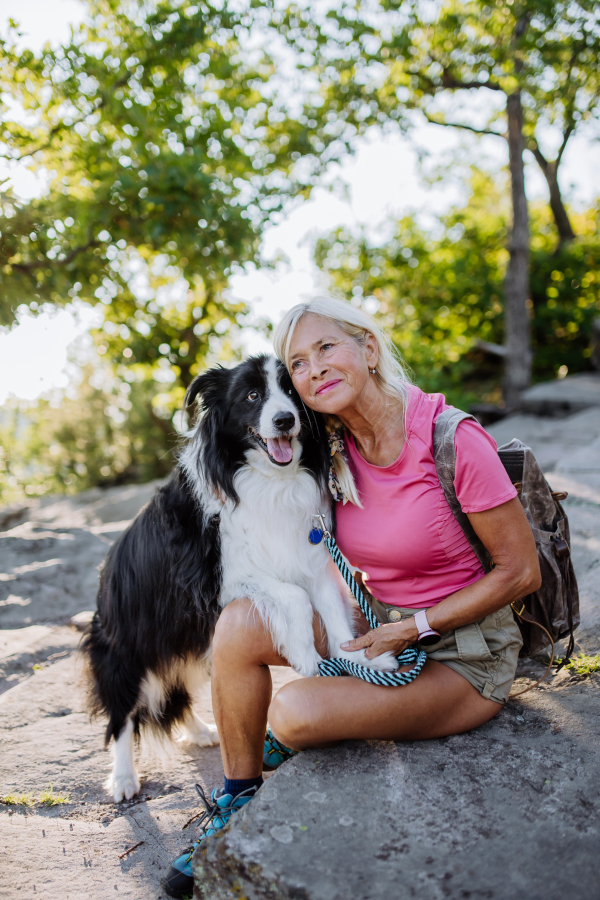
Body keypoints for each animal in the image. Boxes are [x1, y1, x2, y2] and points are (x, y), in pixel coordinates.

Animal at [82, 354, 396, 800]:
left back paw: (199, 731)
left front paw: (362, 658)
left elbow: (334, 615)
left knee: (174, 687)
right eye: (251, 396)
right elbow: (295, 598)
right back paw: (124, 777)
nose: (285, 420)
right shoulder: (216, 579)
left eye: (292, 391)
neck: (268, 479)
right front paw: (305, 656)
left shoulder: (311, 555)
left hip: (188, 636)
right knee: (123, 711)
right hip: (130, 641)